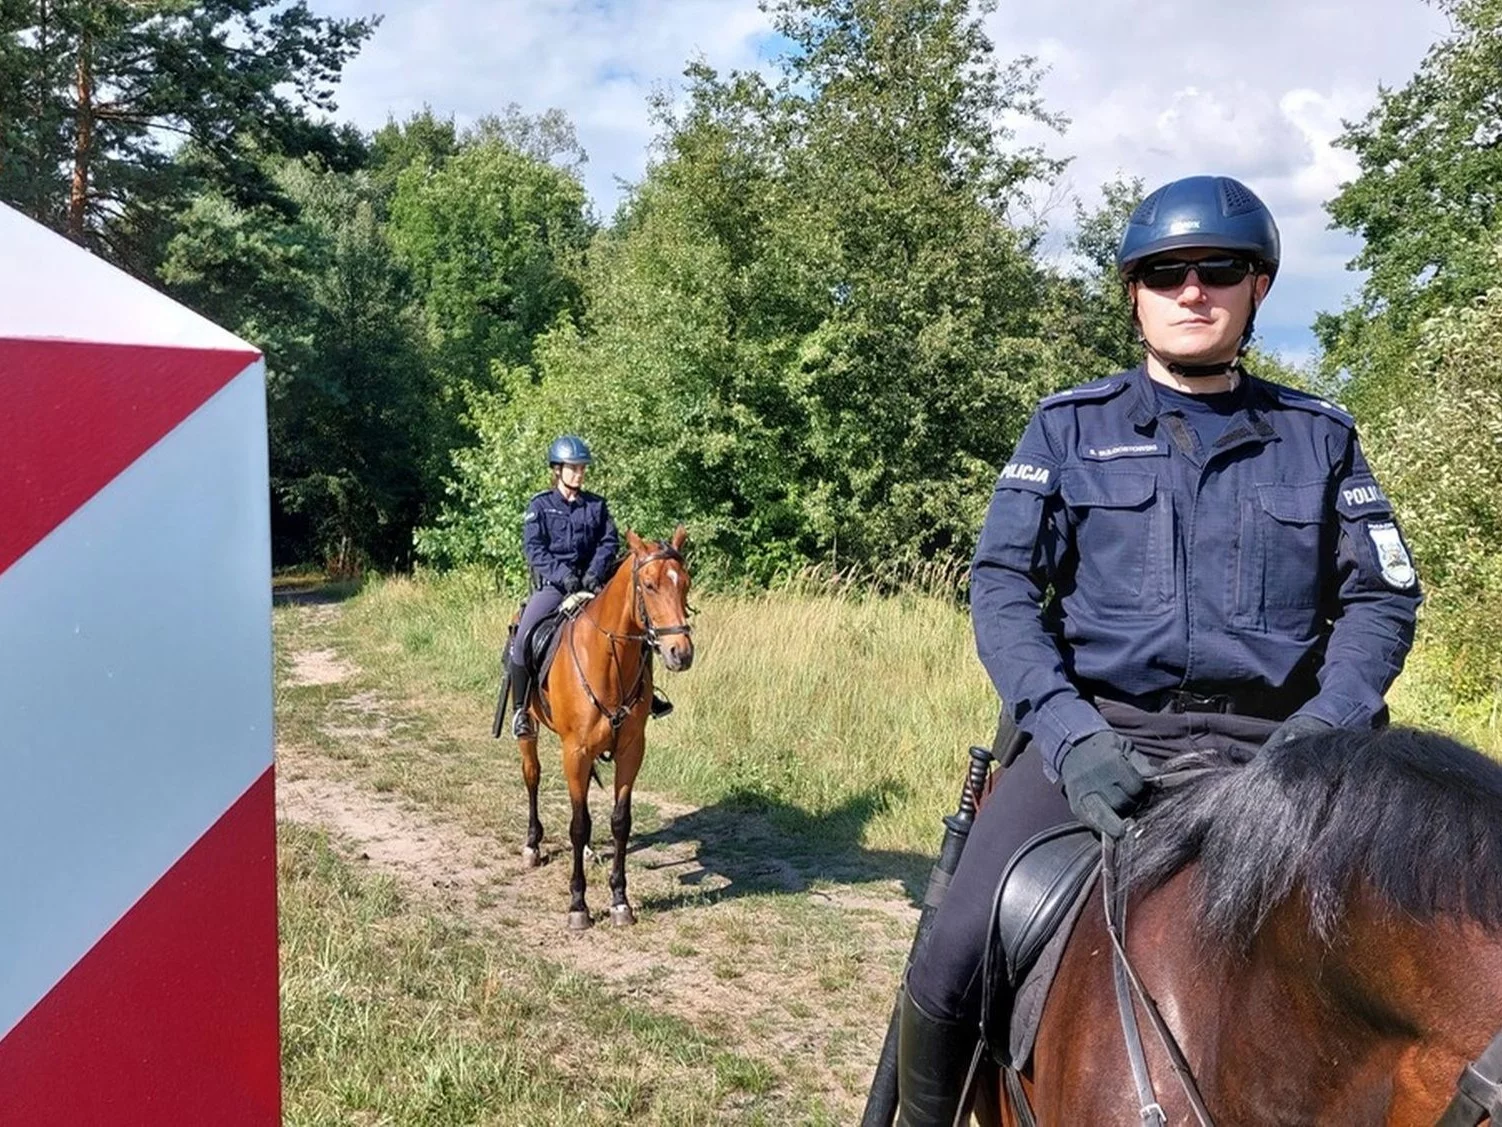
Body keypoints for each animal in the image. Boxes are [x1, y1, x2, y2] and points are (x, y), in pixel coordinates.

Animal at [516, 528, 690, 937]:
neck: (608, 660)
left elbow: (619, 822)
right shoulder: (575, 752)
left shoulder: (631, 750)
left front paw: (619, 901)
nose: (681, 652)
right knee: (532, 777)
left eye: (686, 584)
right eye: (649, 584)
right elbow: (579, 824)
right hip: (530, 732)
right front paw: (578, 904)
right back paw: (532, 844)